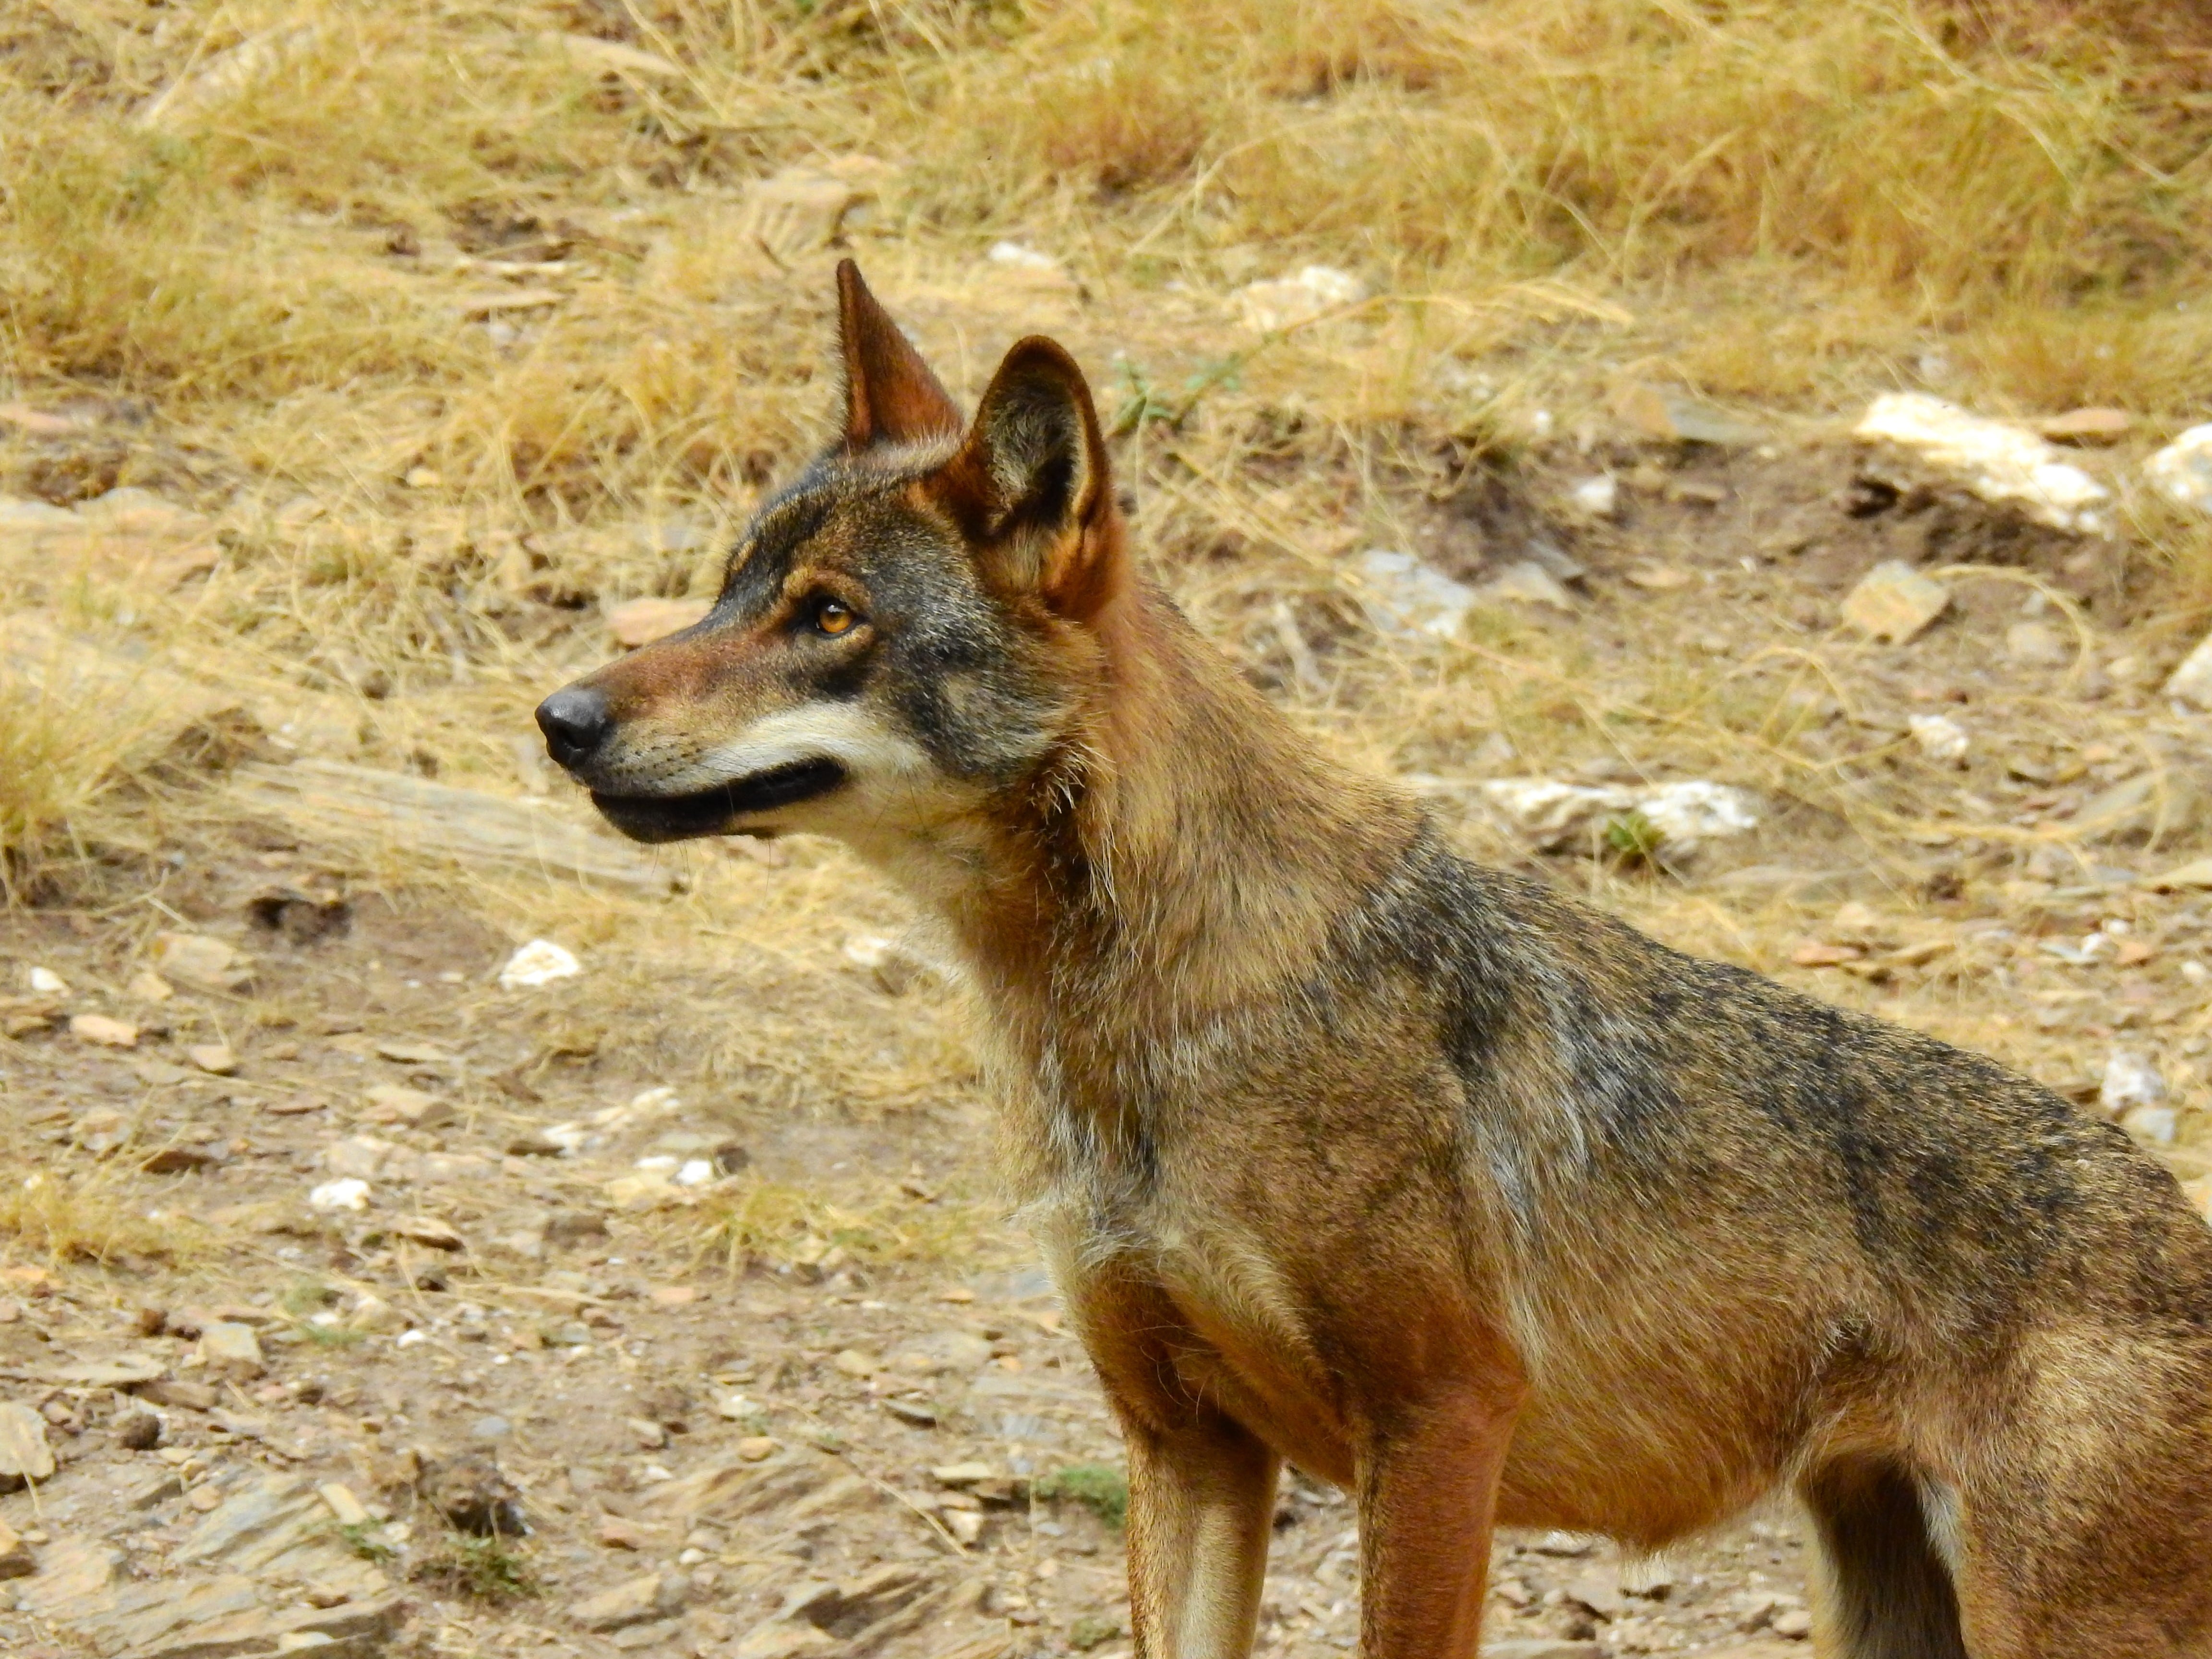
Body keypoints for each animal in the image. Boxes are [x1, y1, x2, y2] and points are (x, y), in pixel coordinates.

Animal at [535, 266, 2212, 1654]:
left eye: (831, 618)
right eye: (728, 588)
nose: (559, 718)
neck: (1135, 1029)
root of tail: (2175, 1215)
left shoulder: (1440, 1424)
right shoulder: (1187, 1446)